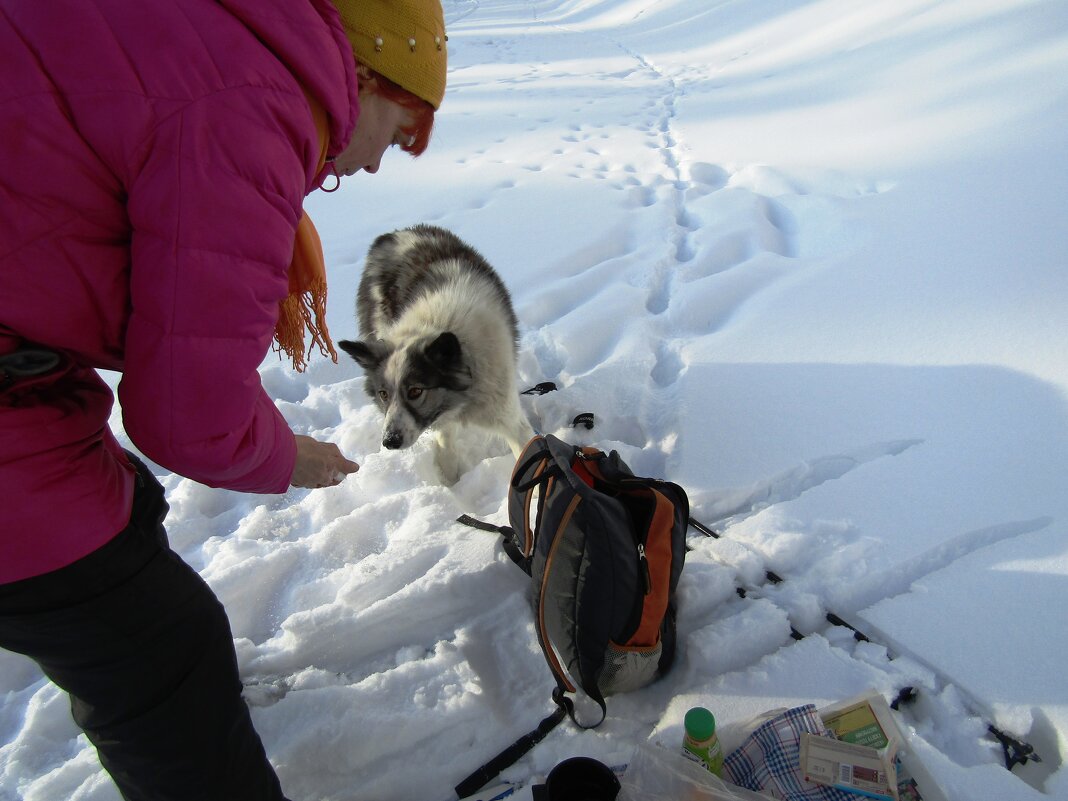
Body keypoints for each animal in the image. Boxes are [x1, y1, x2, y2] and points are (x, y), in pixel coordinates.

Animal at [339, 224, 534, 482]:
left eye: (415, 391)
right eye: (383, 394)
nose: (390, 441)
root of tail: (392, 234)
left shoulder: (506, 415)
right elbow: (445, 443)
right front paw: (451, 482)